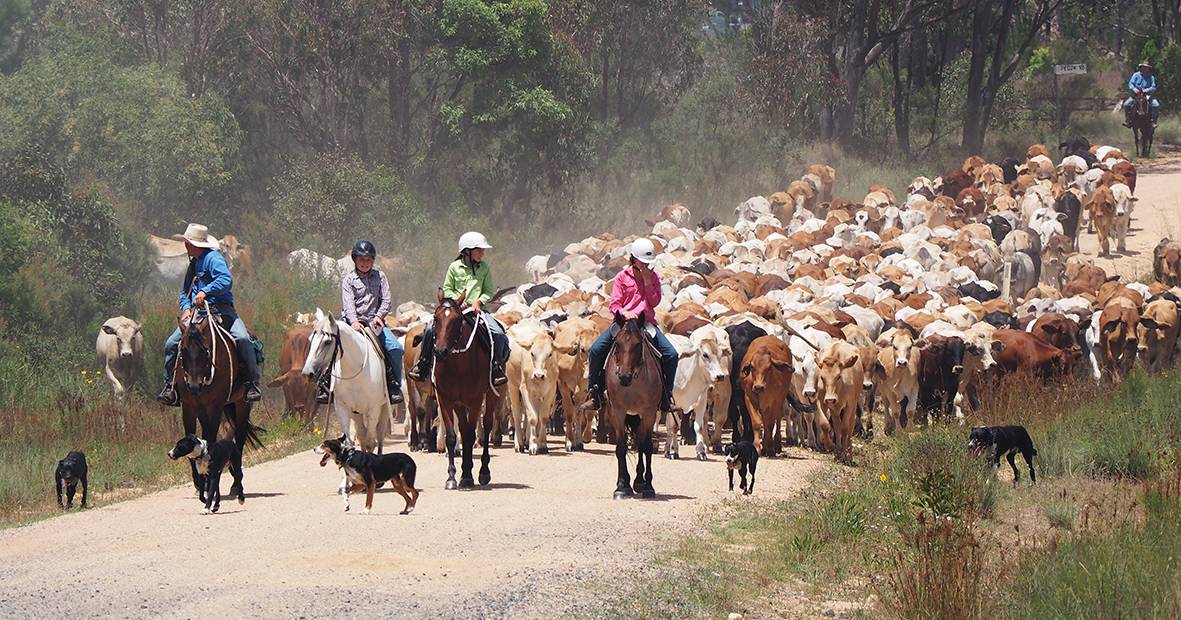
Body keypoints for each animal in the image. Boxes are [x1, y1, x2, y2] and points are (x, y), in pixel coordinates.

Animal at [173, 302, 262, 500]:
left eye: (205, 350)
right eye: (182, 350)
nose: (194, 386)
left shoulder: (214, 407)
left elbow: (211, 438)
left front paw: (207, 482)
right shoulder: (190, 408)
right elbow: (192, 437)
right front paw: (198, 482)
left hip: (242, 404)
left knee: (240, 437)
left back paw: (236, 482)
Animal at [302, 307, 389, 451]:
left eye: (327, 342)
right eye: (310, 340)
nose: (307, 373)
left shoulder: (373, 409)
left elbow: (371, 443)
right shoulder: (342, 407)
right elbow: (349, 441)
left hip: (384, 408)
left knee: (380, 436)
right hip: (356, 412)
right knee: (361, 435)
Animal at [436, 290, 505, 488]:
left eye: (456, 320)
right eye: (436, 318)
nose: (440, 352)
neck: (459, 365)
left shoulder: (475, 400)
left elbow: (469, 435)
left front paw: (467, 476)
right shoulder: (445, 398)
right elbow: (452, 436)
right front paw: (452, 477)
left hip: (491, 394)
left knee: (487, 424)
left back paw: (483, 472)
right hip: (459, 403)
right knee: (463, 426)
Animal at [604, 314, 661, 498]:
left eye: (637, 344)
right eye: (617, 344)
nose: (624, 376)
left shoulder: (649, 413)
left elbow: (647, 446)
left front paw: (648, 485)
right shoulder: (617, 412)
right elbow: (620, 448)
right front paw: (622, 486)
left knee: (641, 443)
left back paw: (640, 482)